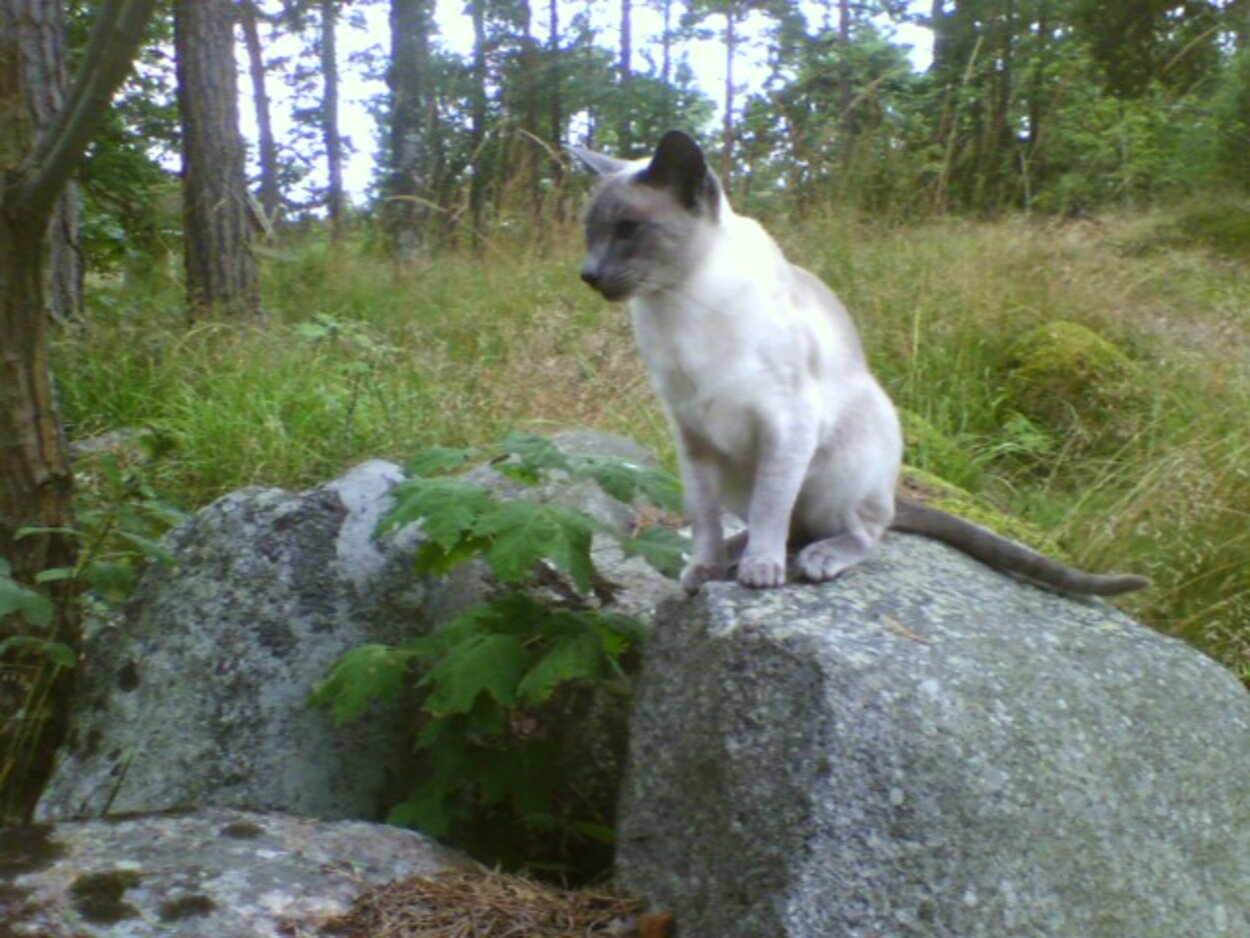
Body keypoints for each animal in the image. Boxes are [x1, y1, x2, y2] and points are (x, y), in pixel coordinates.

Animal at [572, 132, 1145, 597]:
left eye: (628, 229)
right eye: (591, 233)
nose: (588, 274)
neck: (680, 306)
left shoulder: (786, 424)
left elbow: (772, 505)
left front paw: (760, 573)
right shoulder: (691, 434)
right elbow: (705, 518)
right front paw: (703, 569)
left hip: (844, 461)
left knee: (857, 529)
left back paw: (805, 560)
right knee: (786, 526)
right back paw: (733, 558)